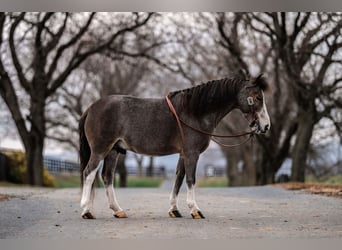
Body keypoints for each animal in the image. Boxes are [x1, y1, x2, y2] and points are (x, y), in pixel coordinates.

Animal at [77, 74, 270, 219]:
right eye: (258, 97)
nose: (266, 126)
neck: (195, 112)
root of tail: (92, 107)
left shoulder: (183, 154)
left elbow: (179, 177)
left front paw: (174, 210)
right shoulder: (192, 153)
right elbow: (191, 179)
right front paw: (195, 209)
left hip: (113, 150)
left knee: (107, 176)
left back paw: (117, 210)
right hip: (100, 149)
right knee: (89, 173)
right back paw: (86, 210)